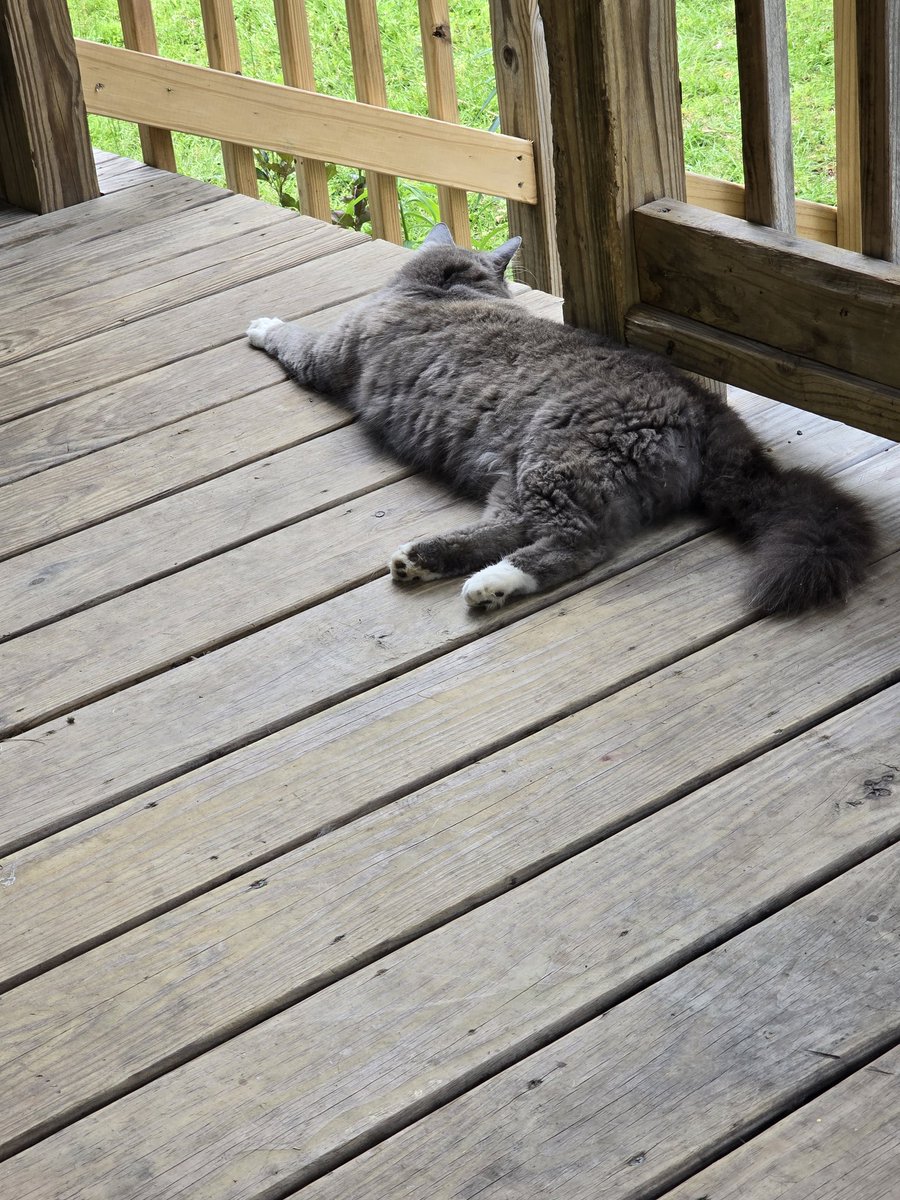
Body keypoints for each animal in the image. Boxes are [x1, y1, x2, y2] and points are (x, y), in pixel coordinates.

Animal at [247, 225, 873, 614]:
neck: (447, 286)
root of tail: (706, 406)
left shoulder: (333, 351)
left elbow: (294, 339)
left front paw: (263, 325)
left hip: (555, 463)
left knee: (575, 542)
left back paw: (489, 583)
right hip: (520, 471)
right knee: (512, 528)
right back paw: (424, 561)